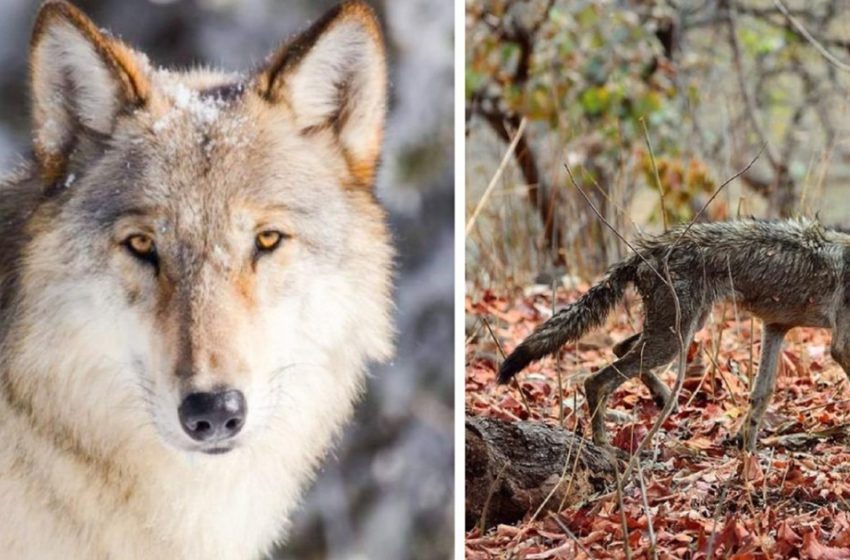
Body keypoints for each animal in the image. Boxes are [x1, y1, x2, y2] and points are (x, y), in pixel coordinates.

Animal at [496, 220, 848, 456]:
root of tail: (645, 250)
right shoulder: (839, 347)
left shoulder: (775, 327)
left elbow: (761, 395)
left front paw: (747, 451)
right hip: (674, 339)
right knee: (596, 380)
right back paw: (604, 446)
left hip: (683, 329)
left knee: (619, 348)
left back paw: (663, 396)